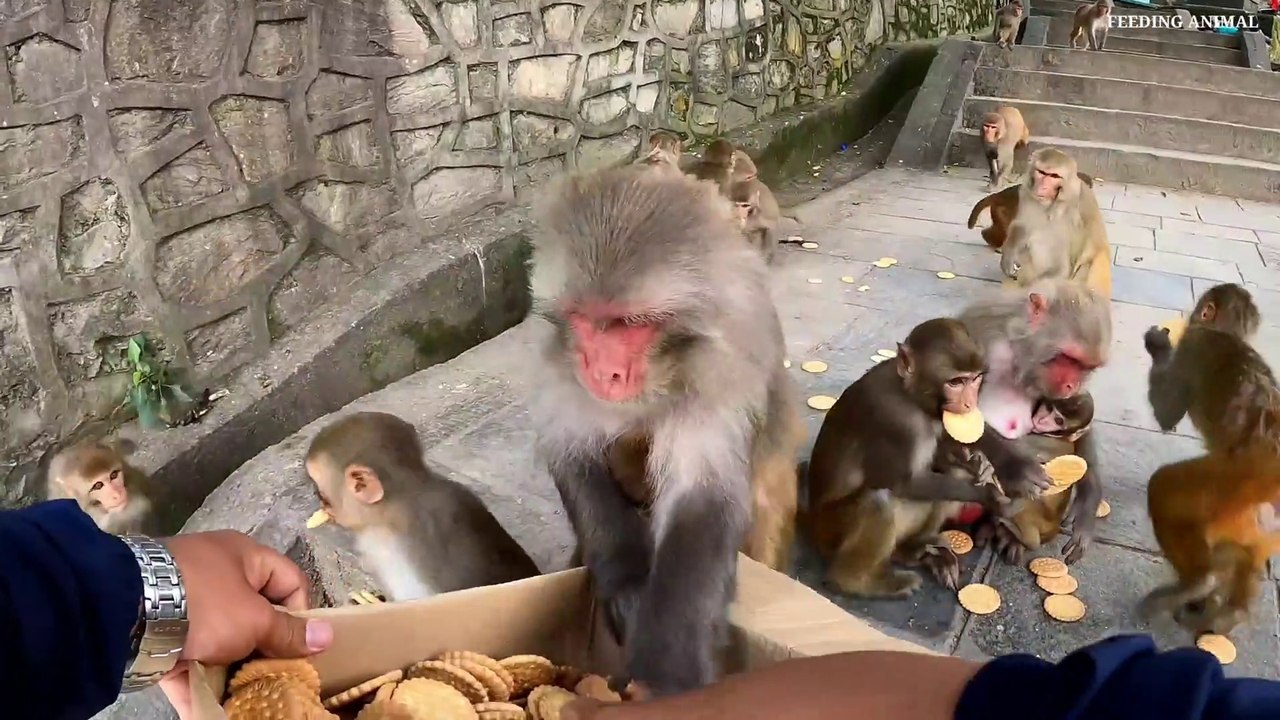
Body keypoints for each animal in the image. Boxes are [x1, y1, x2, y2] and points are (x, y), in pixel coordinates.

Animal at [526, 164, 803, 695]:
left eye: (628, 324)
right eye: (585, 321)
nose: (605, 373)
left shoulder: (723, 368)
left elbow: (703, 496)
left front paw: (670, 671)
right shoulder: (561, 361)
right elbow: (573, 455)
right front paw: (627, 584)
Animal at [804, 318, 1048, 599]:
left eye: (974, 379)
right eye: (955, 382)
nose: (969, 403)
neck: (910, 394)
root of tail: (812, 525)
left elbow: (960, 435)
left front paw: (1013, 468)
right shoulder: (896, 420)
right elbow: (905, 483)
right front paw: (994, 499)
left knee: (949, 479)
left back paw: (916, 547)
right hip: (830, 534)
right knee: (878, 500)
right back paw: (857, 581)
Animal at [958, 279, 1113, 565]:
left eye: (1086, 367)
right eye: (1068, 359)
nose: (1071, 385)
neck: (1017, 351)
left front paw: (1087, 505)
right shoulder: (977, 336)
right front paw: (1016, 467)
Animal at [1000, 148, 1112, 298]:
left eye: (1054, 176)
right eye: (1041, 172)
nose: (1042, 187)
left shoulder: (1082, 200)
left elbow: (1092, 246)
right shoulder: (1025, 193)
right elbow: (1023, 225)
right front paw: (1008, 255)